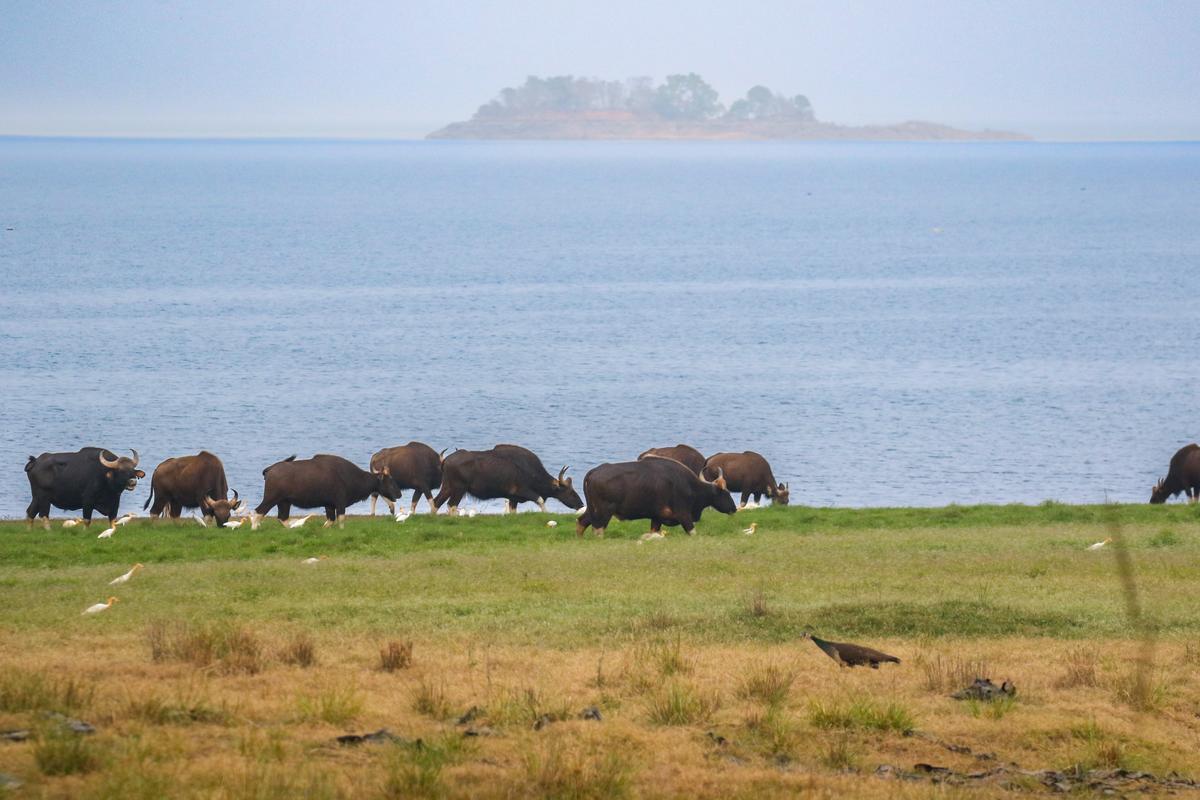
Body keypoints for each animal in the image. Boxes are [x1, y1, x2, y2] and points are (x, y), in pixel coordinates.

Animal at [252, 454, 401, 529]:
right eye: (390, 480)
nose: (400, 494)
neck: (351, 476)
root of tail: (271, 469)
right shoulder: (340, 503)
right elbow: (341, 519)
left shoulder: (329, 505)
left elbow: (330, 521)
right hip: (271, 498)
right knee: (259, 511)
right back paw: (254, 528)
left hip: (284, 502)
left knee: (282, 518)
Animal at [433, 444, 582, 514]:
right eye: (570, 492)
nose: (581, 504)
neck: (531, 471)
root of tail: (445, 460)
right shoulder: (523, 491)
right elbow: (540, 500)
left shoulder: (513, 498)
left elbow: (513, 512)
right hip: (459, 488)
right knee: (451, 505)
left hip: (448, 487)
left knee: (436, 502)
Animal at [577, 456, 737, 537]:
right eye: (726, 493)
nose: (734, 508)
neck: (691, 486)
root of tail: (594, 471)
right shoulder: (684, 515)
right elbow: (693, 532)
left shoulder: (656, 518)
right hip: (603, 512)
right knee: (598, 529)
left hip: (592, 509)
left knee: (581, 521)